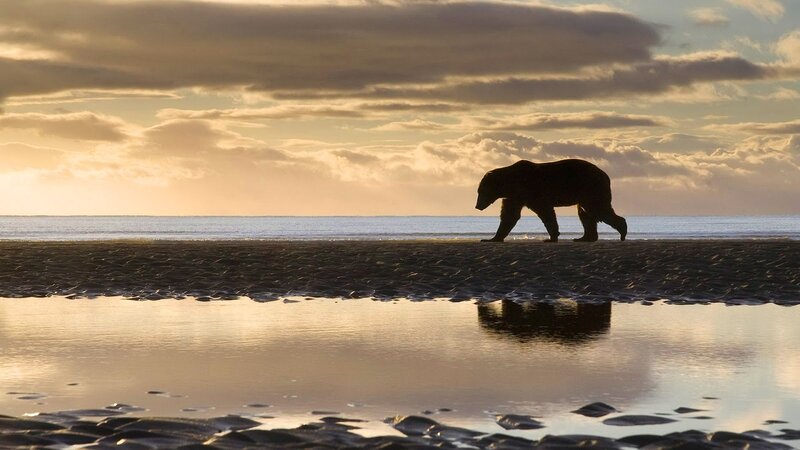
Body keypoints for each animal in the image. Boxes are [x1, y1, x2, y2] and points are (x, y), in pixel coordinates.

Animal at [475, 159, 627, 242]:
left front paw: (551, 237)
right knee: (585, 214)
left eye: (481, 191)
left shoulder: (531, 191)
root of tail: (606, 175)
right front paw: (491, 238)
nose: (477, 206)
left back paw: (622, 231)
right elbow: (509, 216)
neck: (511, 183)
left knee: (598, 209)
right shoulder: (515, 197)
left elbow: (545, 212)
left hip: (590, 188)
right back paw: (584, 238)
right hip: (585, 192)